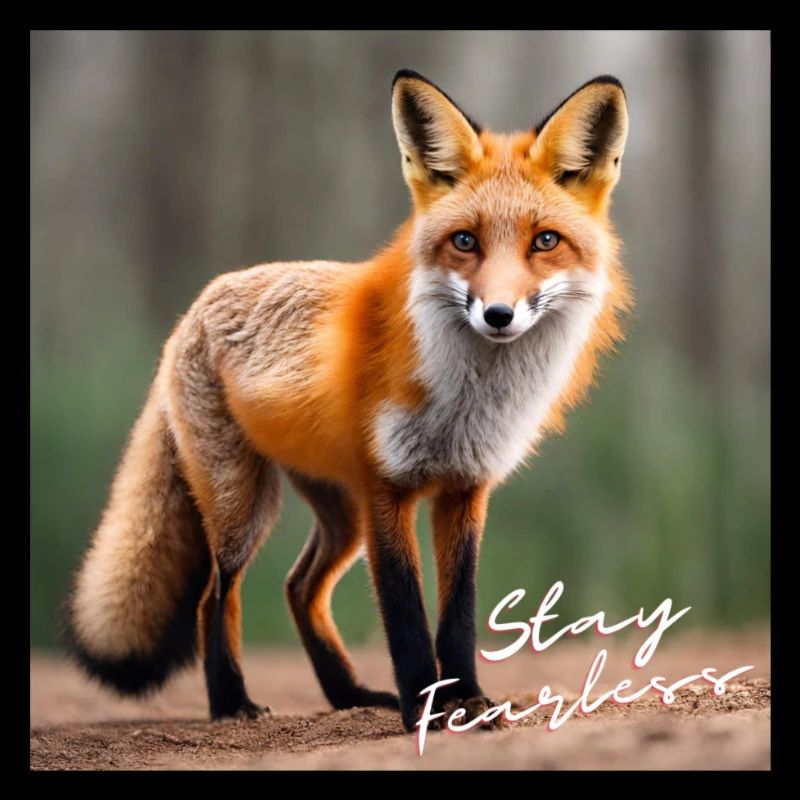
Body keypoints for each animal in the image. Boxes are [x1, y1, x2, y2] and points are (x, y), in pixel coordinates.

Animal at [65, 69, 632, 733]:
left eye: (545, 241)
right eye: (464, 241)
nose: (497, 314)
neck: (469, 403)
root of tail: (196, 306)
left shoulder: (465, 490)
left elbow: (458, 616)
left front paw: (467, 700)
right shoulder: (385, 489)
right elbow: (407, 616)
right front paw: (424, 710)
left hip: (337, 514)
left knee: (298, 587)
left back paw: (349, 694)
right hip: (244, 506)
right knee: (215, 596)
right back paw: (231, 702)